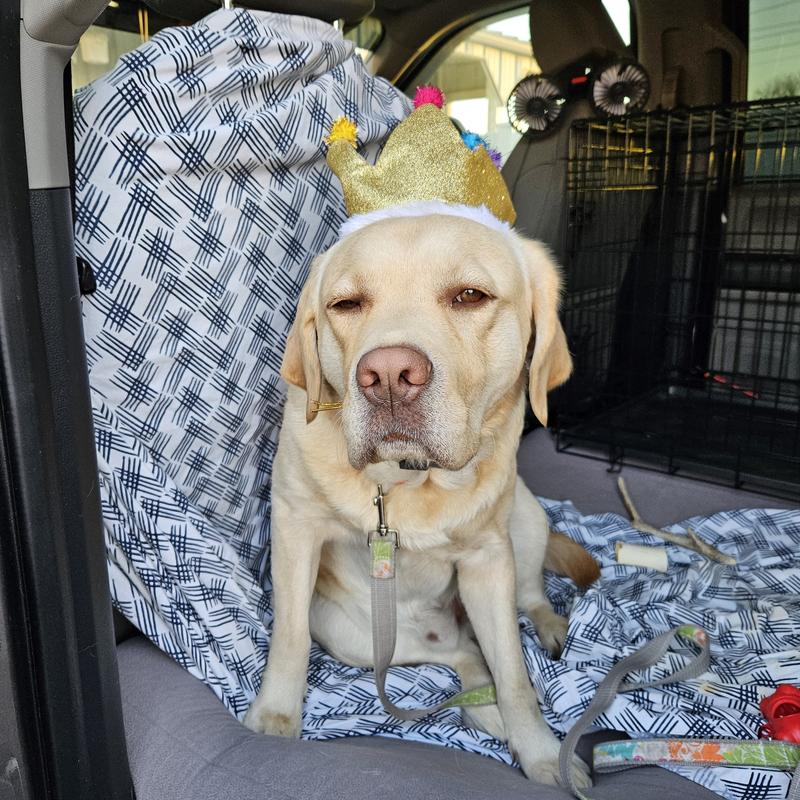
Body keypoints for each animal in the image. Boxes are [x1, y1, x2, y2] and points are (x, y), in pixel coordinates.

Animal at [244, 213, 598, 788]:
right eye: (346, 304)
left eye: (470, 296)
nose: (388, 375)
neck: (407, 480)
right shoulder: (295, 526)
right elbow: (289, 638)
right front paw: (273, 719)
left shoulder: (488, 560)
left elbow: (515, 676)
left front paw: (545, 754)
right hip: (356, 635)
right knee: (465, 653)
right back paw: (482, 707)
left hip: (524, 520)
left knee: (527, 600)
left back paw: (547, 631)